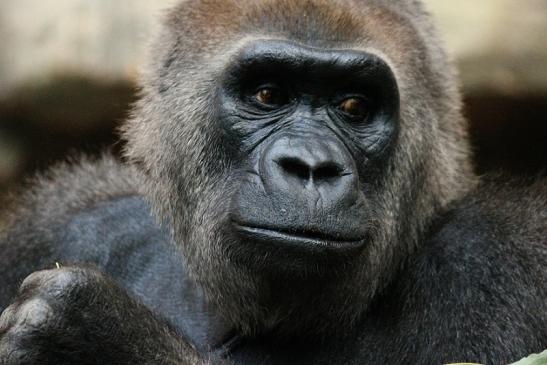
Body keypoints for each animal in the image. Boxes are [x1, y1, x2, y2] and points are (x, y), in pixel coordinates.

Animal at [1, 0, 547, 362]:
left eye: (354, 106)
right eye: (267, 95)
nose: (310, 166)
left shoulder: (501, 256)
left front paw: (95, 337)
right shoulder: (62, 216)